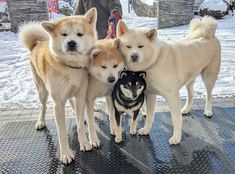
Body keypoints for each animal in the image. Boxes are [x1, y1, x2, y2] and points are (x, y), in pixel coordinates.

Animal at [18, 8, 98, 164]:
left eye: (80, 34)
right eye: (64, 34)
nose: (71, 43)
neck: (71, 66)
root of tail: (36, 44)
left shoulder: (80, 96)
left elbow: (79, 125)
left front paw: (84, 142)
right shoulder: (58, 104)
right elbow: (61, 133)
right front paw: (66, 154)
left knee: (72, 103)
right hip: (42, 91)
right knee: (42, 106)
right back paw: (41, 121)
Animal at [116, 16, 221, 144]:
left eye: (141, 46)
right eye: (128, 46)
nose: (134, 56)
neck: (154, 62)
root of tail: (207, 33)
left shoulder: (172, 96)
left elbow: (175, 119)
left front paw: (176, 138)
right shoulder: (150, 94)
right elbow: (150, 116)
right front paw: (146, 130)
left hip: (209, 77)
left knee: (209, 95)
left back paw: (208, 110)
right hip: (189, 79)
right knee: (191, 94)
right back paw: (186, 109)